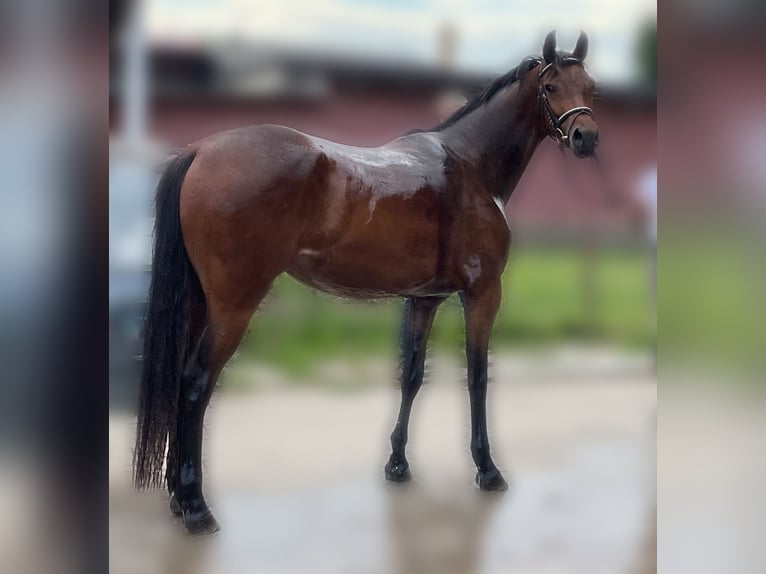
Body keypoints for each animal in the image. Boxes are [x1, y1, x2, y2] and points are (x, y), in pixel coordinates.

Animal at [132, 30, 600, 536]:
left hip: (200, 303)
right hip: (233, 306)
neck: (470, 165)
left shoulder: (424, 299)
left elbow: (411, 375)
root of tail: (200, 151)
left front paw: (397, 465)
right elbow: (477, 377)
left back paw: (178, 500)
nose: (587, 138)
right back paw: (196, 508)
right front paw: (487, 470)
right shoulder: (482, 294)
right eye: (550, 87)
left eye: (591, 87)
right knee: (195, 384)